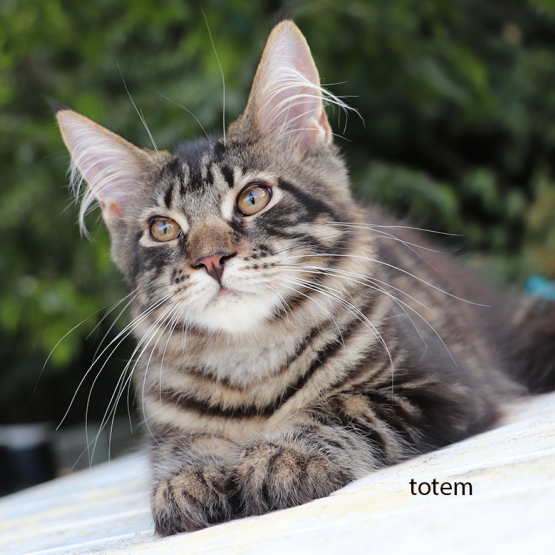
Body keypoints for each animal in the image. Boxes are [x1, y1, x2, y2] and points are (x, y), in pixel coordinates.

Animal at [55, 21, 555, 540]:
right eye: (163, 229)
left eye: (253, 198)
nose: (211, 259)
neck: (250, 362)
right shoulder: (166, 431)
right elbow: (184, 447)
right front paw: (189, 477)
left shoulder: (443, 387)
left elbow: (336, 408)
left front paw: (281, 455)